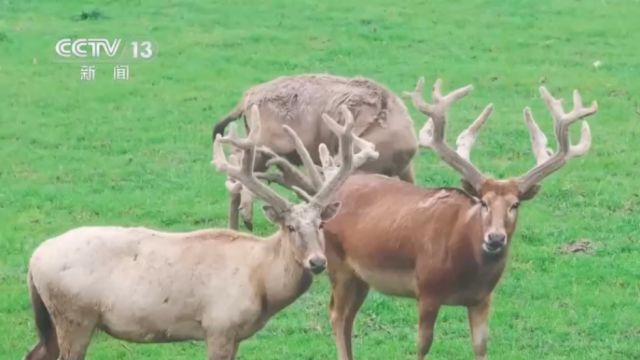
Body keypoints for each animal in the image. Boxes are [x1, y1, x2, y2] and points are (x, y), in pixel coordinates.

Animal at [22, 106, 378, 360]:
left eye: (321, 224)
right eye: (290, 227)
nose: (317, 262)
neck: (260, 281)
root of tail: (33, 260)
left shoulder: (233, 334)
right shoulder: (219, 325)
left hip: (56, 319)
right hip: (74, 314)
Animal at [320, 77, 600, 358]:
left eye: (515, 204)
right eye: (483, 202)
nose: (495, 238)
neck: (466, 268)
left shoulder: (482, 298)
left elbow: (481, 347)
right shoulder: (427, 289)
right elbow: (422, 346)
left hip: (360, 276)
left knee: (348, 316)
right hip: (337, 263)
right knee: (336, 314)